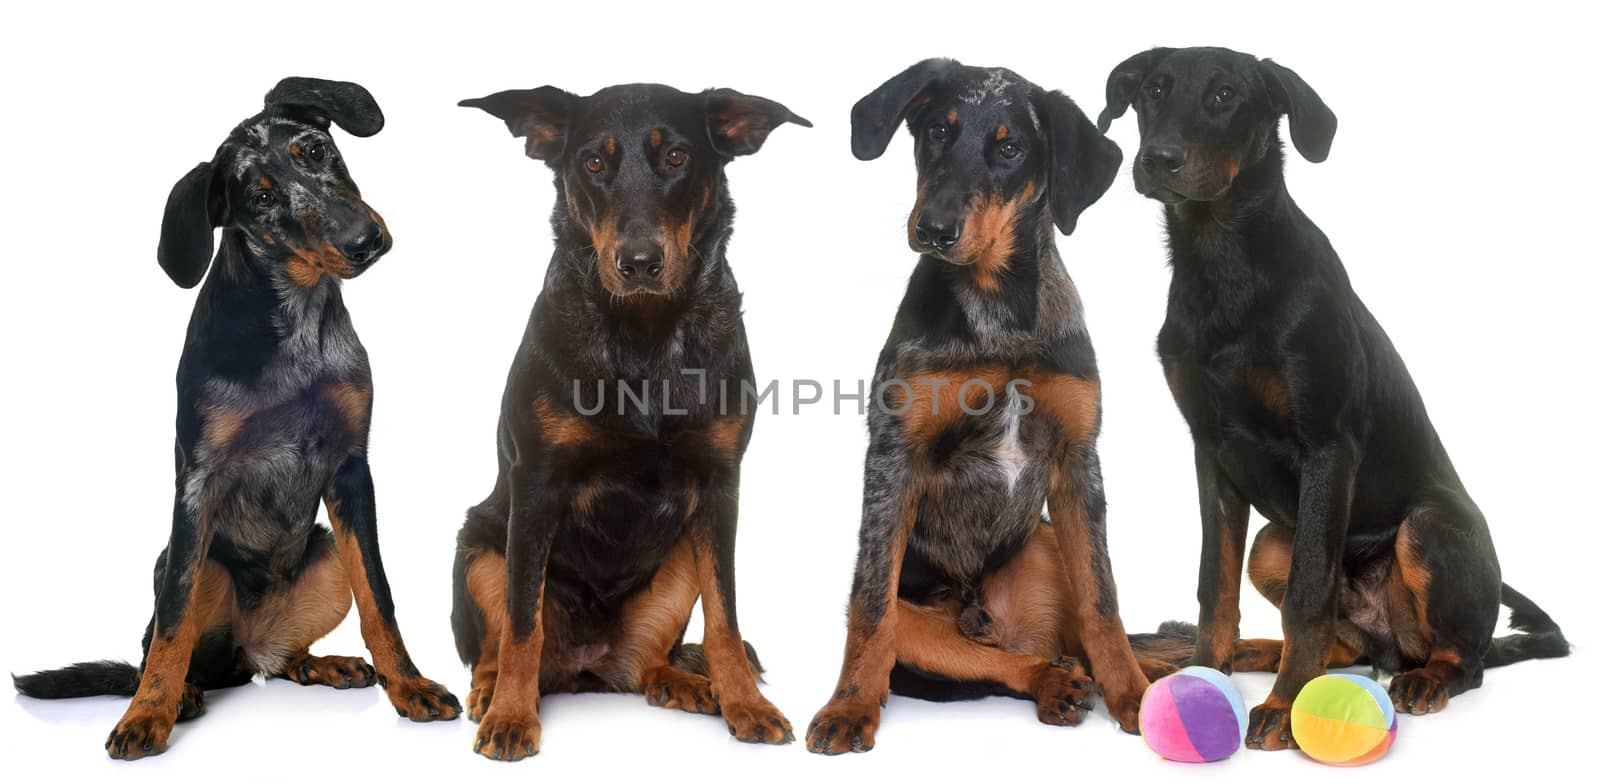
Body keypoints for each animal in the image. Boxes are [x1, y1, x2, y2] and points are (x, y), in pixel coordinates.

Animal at [10, 76, 464, 755]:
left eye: (315, 150)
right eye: (261, 197)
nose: (365, 240)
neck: (294, 318)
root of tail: (249, 646)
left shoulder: (352, 470)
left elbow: (379, 595)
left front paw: (408, 685)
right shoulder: (196, 484)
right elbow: (172, 622)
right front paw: (147, 715)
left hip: (324, 554)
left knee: (280, 660)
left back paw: (324, 663)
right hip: (195, 566)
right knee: (164, 650)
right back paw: (176, 695)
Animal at [454, 84, 812, 758]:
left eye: (676, 157)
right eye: (593, 163)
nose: (639, 261)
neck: (646, 338)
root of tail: (585, 667)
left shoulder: (720, 487)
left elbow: (726, 619)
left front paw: (746, 704)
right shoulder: (536, 486)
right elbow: (521, 623)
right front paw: (512, 716)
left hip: (677, 567)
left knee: (646, 665)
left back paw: (690, 685)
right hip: (481, 547)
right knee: (500, 643)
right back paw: (492, 692)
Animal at [800, 58, 1177, 755]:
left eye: (1010, 149)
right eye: (935, 132)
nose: (933, 229)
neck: (995, 305)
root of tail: (982, 614)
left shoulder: (1079, 460)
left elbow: (1104, 599)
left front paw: (1135, 699)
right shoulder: (892, 457)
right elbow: (870, 607)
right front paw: (849, 706)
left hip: (1045, 538)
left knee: (1071, 639)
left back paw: (1146, 673)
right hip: (933, 626)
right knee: (997, 659)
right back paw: (1055, 684)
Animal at [1094, 46, 1568, 748]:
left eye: (1226, 96)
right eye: (1154, 90)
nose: (1160, 159)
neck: (1222, 260)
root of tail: (1393, 645)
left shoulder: (1327, 445)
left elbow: (1308, 595)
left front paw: (1284, 707)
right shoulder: (1211, 451)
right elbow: (1215, 585)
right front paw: (1205, 673)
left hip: (1429, 525)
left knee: (1466, 658)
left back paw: (1425, 679)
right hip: (1274, 540)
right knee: (1344, 646)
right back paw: (1258, 653)